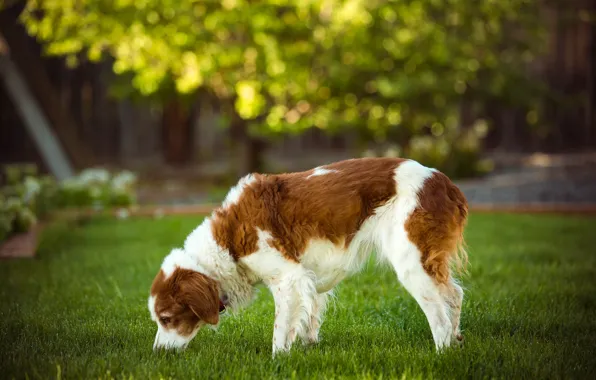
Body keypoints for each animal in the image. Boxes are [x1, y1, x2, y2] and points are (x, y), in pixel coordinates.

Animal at [147, 156, 468, 354]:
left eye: (166, 318)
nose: (158, 352)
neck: (227, 241)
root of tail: (443, 181)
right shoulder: (309, 280)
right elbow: (306, 321)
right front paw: (307, 350)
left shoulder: (288, 277)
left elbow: (279, 330)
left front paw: (277, 360)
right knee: (455, 295)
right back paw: (456, 341)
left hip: (411, 262)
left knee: (439, 318)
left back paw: (441, 353)